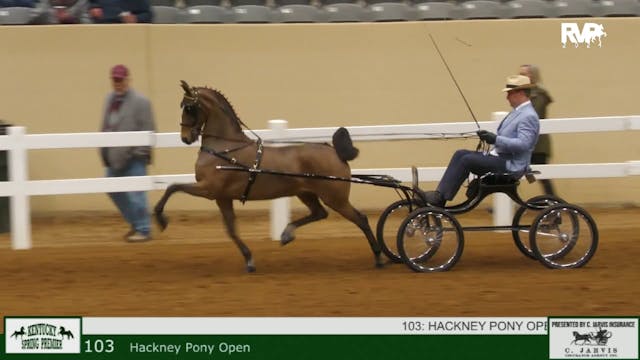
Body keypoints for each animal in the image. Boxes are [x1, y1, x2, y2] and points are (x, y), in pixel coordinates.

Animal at [153, 81, 382, 272]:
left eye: (189, 107)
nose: (185, 138)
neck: (225, 148)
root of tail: (334, 151)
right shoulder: (222, 197)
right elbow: (231, 229)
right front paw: (249, 260)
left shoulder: (209, 188)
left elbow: (173, 187)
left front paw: (161, 218)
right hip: (306, 193)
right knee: (319, 213)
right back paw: (287, 233)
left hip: (335, 198)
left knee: (360, 219)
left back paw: (379, 257)